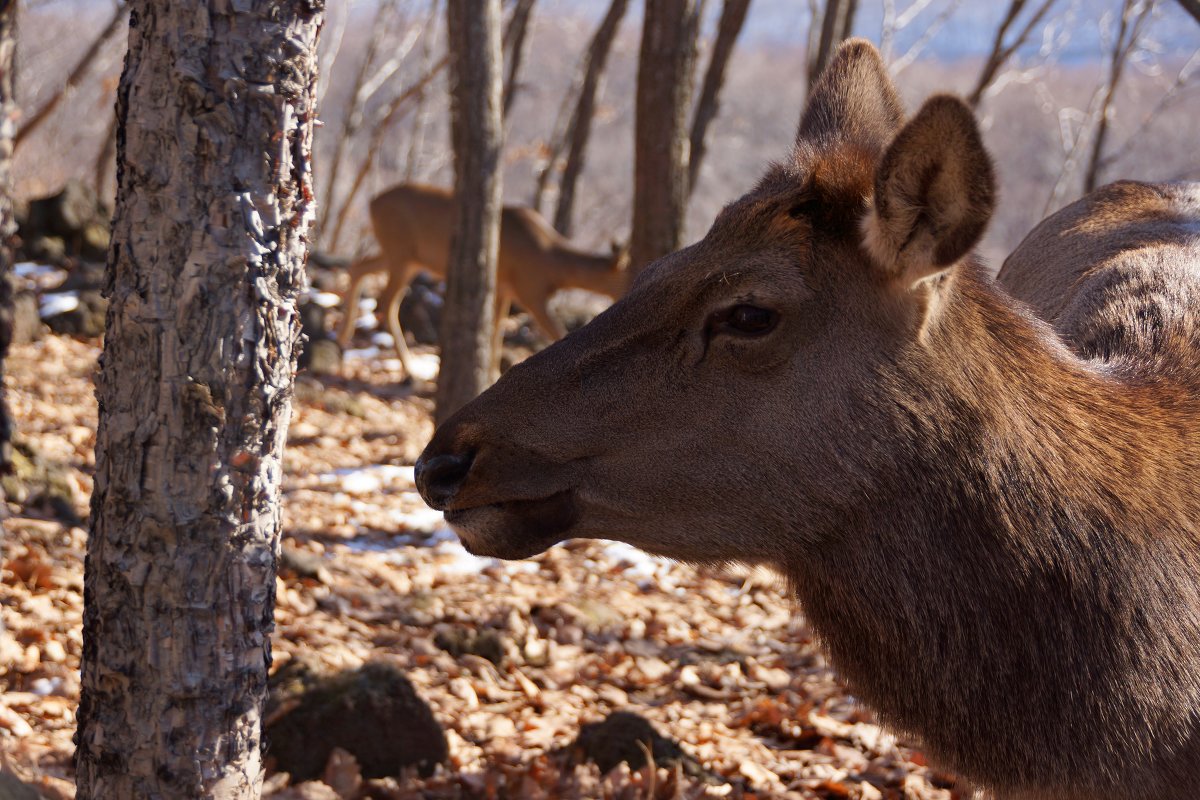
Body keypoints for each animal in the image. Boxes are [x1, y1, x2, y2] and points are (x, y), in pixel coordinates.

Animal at [336, 185, 628, 381]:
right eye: (627, 271)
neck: (552, 264)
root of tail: (372, 203)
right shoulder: (530, 290)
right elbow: (558, 332)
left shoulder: (503, 289)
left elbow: (495, 330)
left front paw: (491, 374)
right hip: (401, 253)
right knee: (386, 302)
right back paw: (409, 369)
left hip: (404, 256)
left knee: (358, 267)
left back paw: (342, 338)